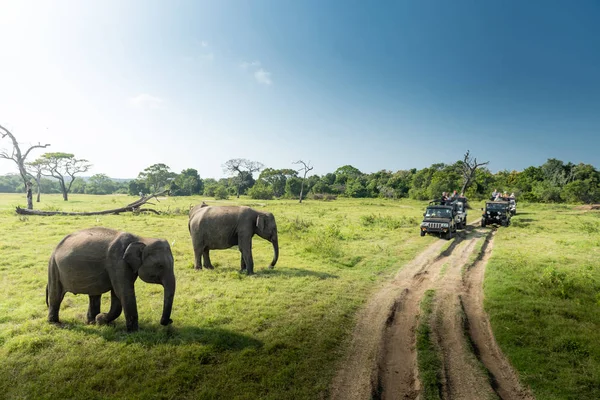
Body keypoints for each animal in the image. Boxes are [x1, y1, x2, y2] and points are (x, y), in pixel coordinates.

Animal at [46, 227, 176, 332]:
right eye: (160, 266)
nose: (170, 321)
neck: (140, 238)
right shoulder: (117, 262)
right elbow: (123, 292)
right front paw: (133, 332)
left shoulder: (123, 266)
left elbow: (117, 294)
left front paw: (101, 320)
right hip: (53, 267)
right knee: (56, 295)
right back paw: (56, 324)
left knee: (94, 294)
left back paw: (91, 322)